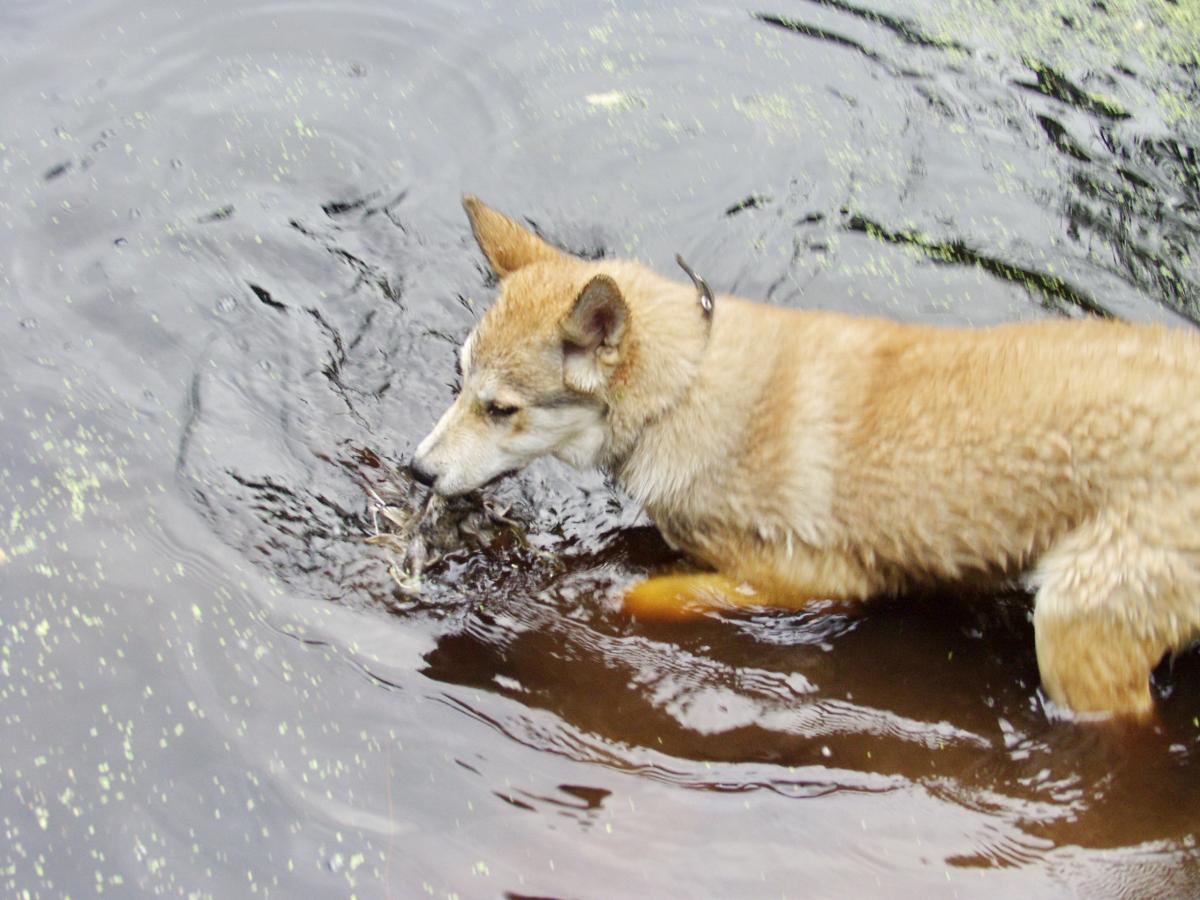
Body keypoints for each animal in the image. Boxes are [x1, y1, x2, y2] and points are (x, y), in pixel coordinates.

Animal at [412, 195, 1200, 720]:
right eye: (459, 379)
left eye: (500, 409)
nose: (415, 470)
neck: (685, 391)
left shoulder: (822, 579)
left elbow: (648, 595)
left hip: (1074, 637)